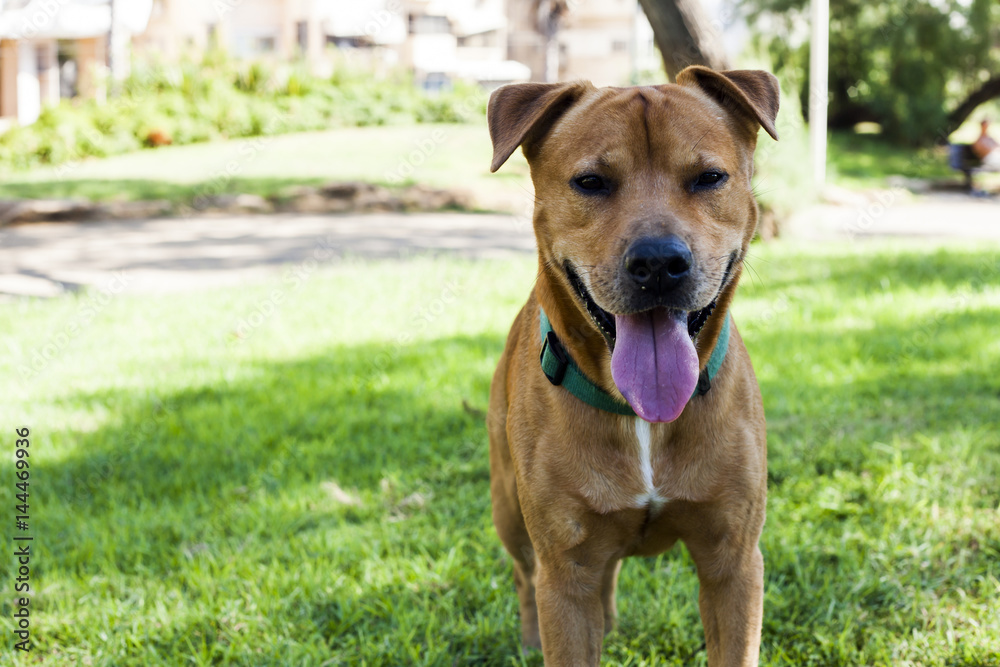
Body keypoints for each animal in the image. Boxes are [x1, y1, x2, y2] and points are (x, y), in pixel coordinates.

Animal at [488, 69, 776, 667]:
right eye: (591, 182)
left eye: (710, 178)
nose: (659, 262)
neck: (641, 415)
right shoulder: (565, 574)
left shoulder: (734, 562)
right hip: (507, 507)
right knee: (525, 575)